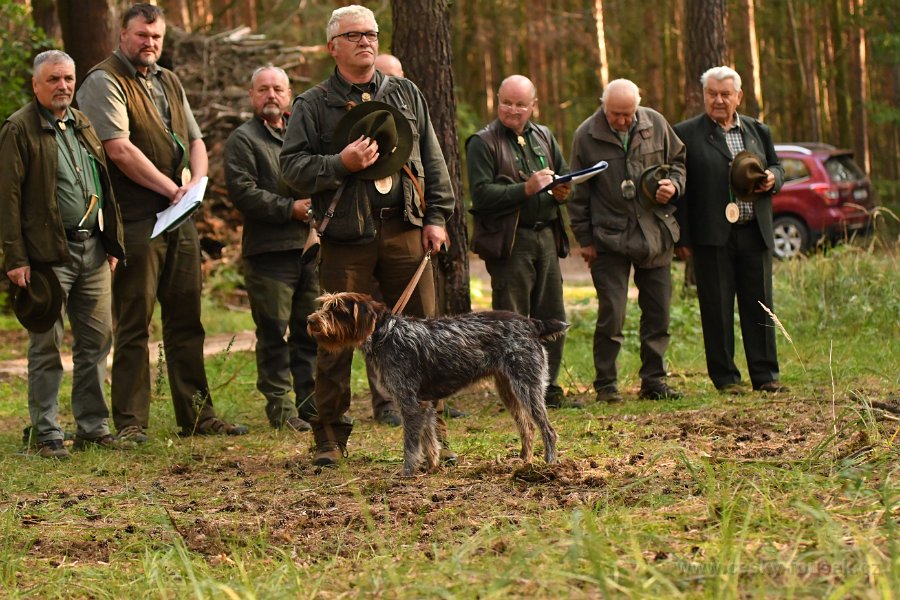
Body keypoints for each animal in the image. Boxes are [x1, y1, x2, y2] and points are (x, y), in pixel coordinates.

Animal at [310, 292, 564, 476]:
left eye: (337, 309)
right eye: (324, 305)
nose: (310, 320)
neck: (387, 335)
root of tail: (532, 324)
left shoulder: (410, 403)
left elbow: (411, 444)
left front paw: (407, 472)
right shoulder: (424, 404)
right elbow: (429, 440)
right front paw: (431, 466)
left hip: (527, 387)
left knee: (548, 431)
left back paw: (549, 466)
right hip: (509, 390)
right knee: (528, 427)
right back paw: (524, 462)